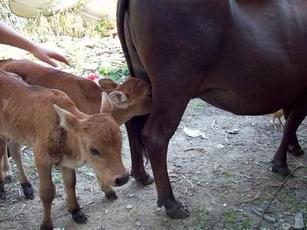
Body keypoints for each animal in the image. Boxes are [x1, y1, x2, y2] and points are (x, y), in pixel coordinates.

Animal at [0, 70, 129, 230]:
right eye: (94, 150)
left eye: (121, 142)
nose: (123, 178)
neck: (61, 129)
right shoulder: (41, 158)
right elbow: (47, 192)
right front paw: (46, 224)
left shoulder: (66, 162)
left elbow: (70, 183)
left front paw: (76, 211)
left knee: (14, 149)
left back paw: (27, 187)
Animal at [118, 0, 307, 219]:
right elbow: (291, 124)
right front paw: (281, 163)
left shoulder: (293, 90)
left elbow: (290, 120)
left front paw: (294, 148)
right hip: (174, 89)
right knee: (155, 136)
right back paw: (171, 202)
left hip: (143, 80)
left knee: (133, 123)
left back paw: (141, 175)